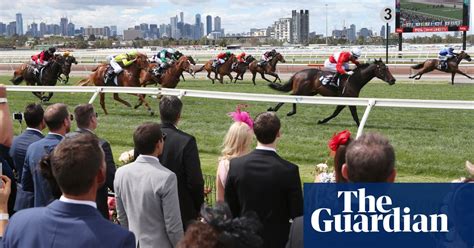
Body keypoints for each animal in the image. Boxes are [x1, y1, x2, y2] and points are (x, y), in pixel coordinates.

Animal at [266, 58, 396, 126]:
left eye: (388, 68)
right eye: (383, 69)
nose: (393, 80)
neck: (354, 79)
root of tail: (298, 73)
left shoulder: (345, 100)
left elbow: (335, 113)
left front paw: (322, 120)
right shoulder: (349, 99)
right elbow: (353, 115)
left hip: (308, 92)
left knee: (292, 98)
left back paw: (290, 112)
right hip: (301, 90)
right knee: (290, 97)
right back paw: (275, 109)